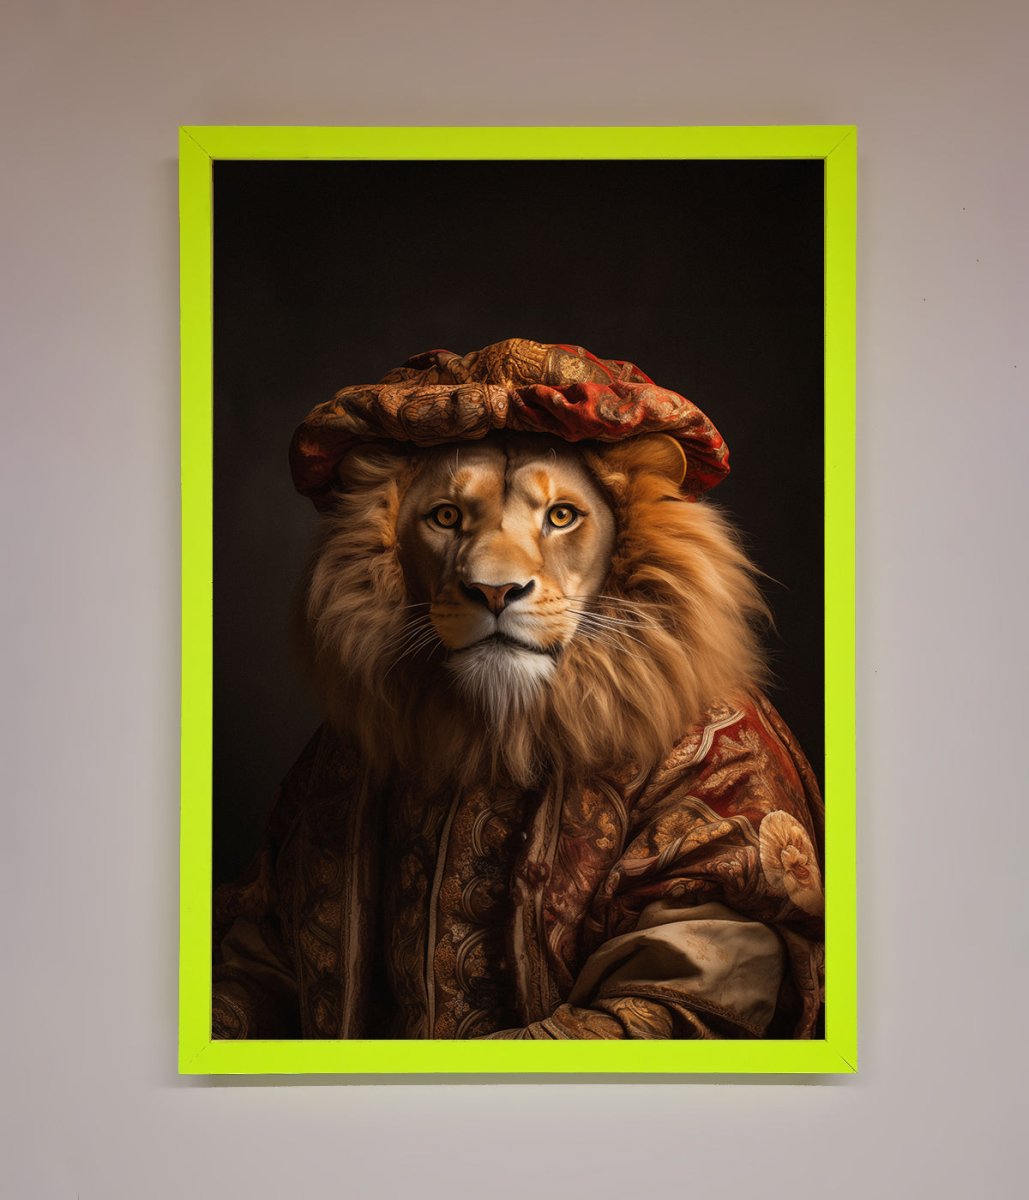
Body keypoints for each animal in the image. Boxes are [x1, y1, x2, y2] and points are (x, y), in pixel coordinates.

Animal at [212, 340, 824, 1041]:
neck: (495, 734)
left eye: (561, 516)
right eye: (446, 516)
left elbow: (652, 987)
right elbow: (253, 953)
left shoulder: (720, 844)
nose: (494, 591)